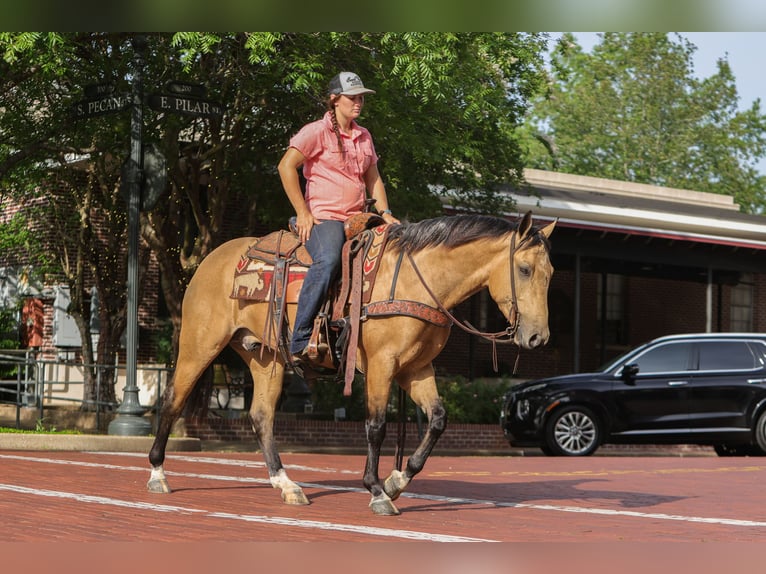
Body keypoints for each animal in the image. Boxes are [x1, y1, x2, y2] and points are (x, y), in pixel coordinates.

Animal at [147, 211, 555, 516]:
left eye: (550, 273)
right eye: (524, 270)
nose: (538, 337)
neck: (417, 282)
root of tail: (211, 258)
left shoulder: (416, 369)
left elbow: (438, 420)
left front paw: (397, 481)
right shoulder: (382, 364)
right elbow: (375, 426)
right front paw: (377, 491)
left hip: (266, 357)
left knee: (261, 416)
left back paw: (287, 485)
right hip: (200, 343)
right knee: (172, 400)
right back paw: (157, 474)